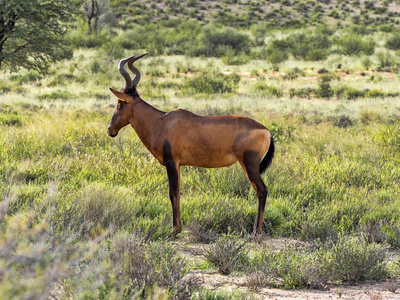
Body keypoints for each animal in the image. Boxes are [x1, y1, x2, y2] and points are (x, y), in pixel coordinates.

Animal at [106, 54, 276, 237]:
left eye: (120, 102)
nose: (110, 130)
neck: (162, 122)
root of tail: (267, 131)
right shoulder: (178, 164)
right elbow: (179, 193)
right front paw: (179, 227)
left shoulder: (171, 161)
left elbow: (172, 193)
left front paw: (174, 230)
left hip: (250, 164)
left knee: (262, 190)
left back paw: (256, 232)